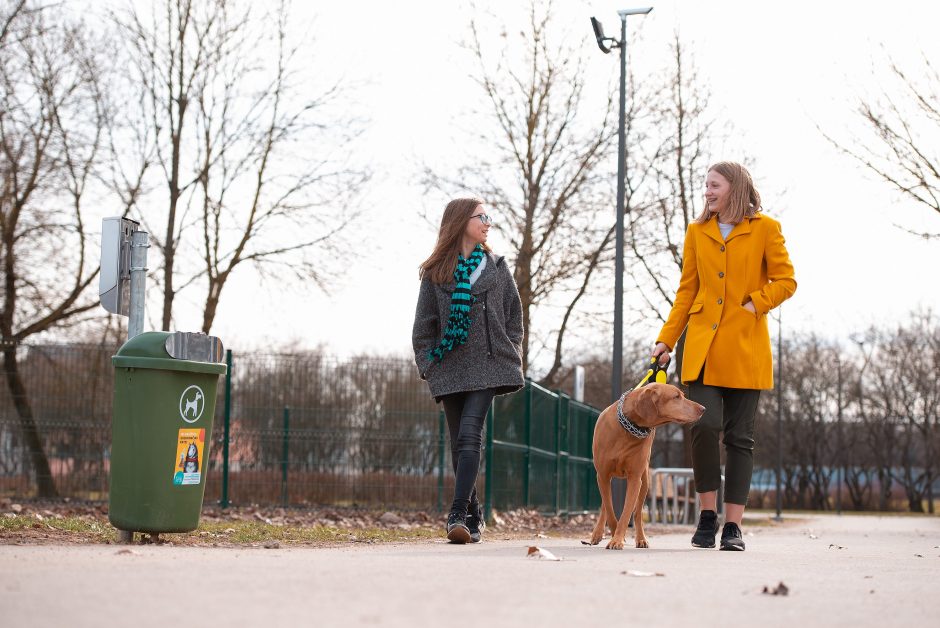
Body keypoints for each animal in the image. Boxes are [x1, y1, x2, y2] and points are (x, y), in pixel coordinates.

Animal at [592, 380, 700, 548]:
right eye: (676, 396)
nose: (703, 409)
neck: (627, 429)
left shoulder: (635, 478)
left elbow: (627, 512)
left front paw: (617, 538)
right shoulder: (602, 475)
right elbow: (609, 508)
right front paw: (614, 533)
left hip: (645, 481)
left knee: (637, 513)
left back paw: (641, 539)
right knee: (606, 503)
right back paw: (597, 533)